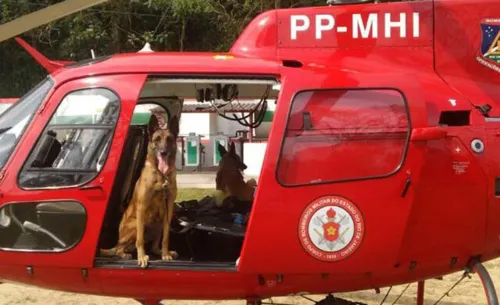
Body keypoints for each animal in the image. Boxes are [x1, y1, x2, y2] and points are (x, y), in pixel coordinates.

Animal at [100, 113, 180, 266]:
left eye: (169, 139)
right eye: (157, 139)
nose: (163, 153)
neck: (161, 175)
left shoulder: (169, 208)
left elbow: (166, 237)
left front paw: (166, 254)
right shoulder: (142, 208)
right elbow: (140, 240)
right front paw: (142, 257)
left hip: (159, 223)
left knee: (154, 246)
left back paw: (161, 252)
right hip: (135, 225)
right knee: (120, 248)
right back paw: (124, 254)